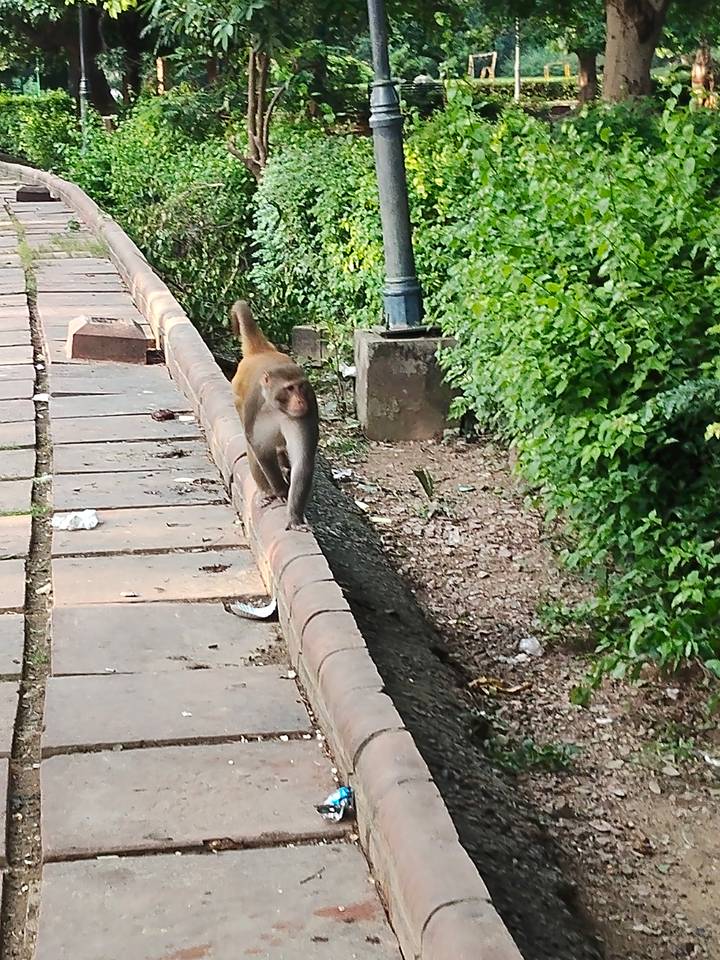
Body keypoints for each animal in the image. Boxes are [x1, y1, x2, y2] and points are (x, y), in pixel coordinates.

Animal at [230, 301, 319, 531]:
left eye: (301, 387)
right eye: (289, 389)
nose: (300, 402)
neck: (278, 409)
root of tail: (260, 352)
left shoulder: (309, 409)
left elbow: (303, 462)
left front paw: (295, 517)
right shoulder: (255, 408)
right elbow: (261, 449)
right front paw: (279, 490)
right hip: (238, 400)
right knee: (252, 448)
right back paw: (267, 491)